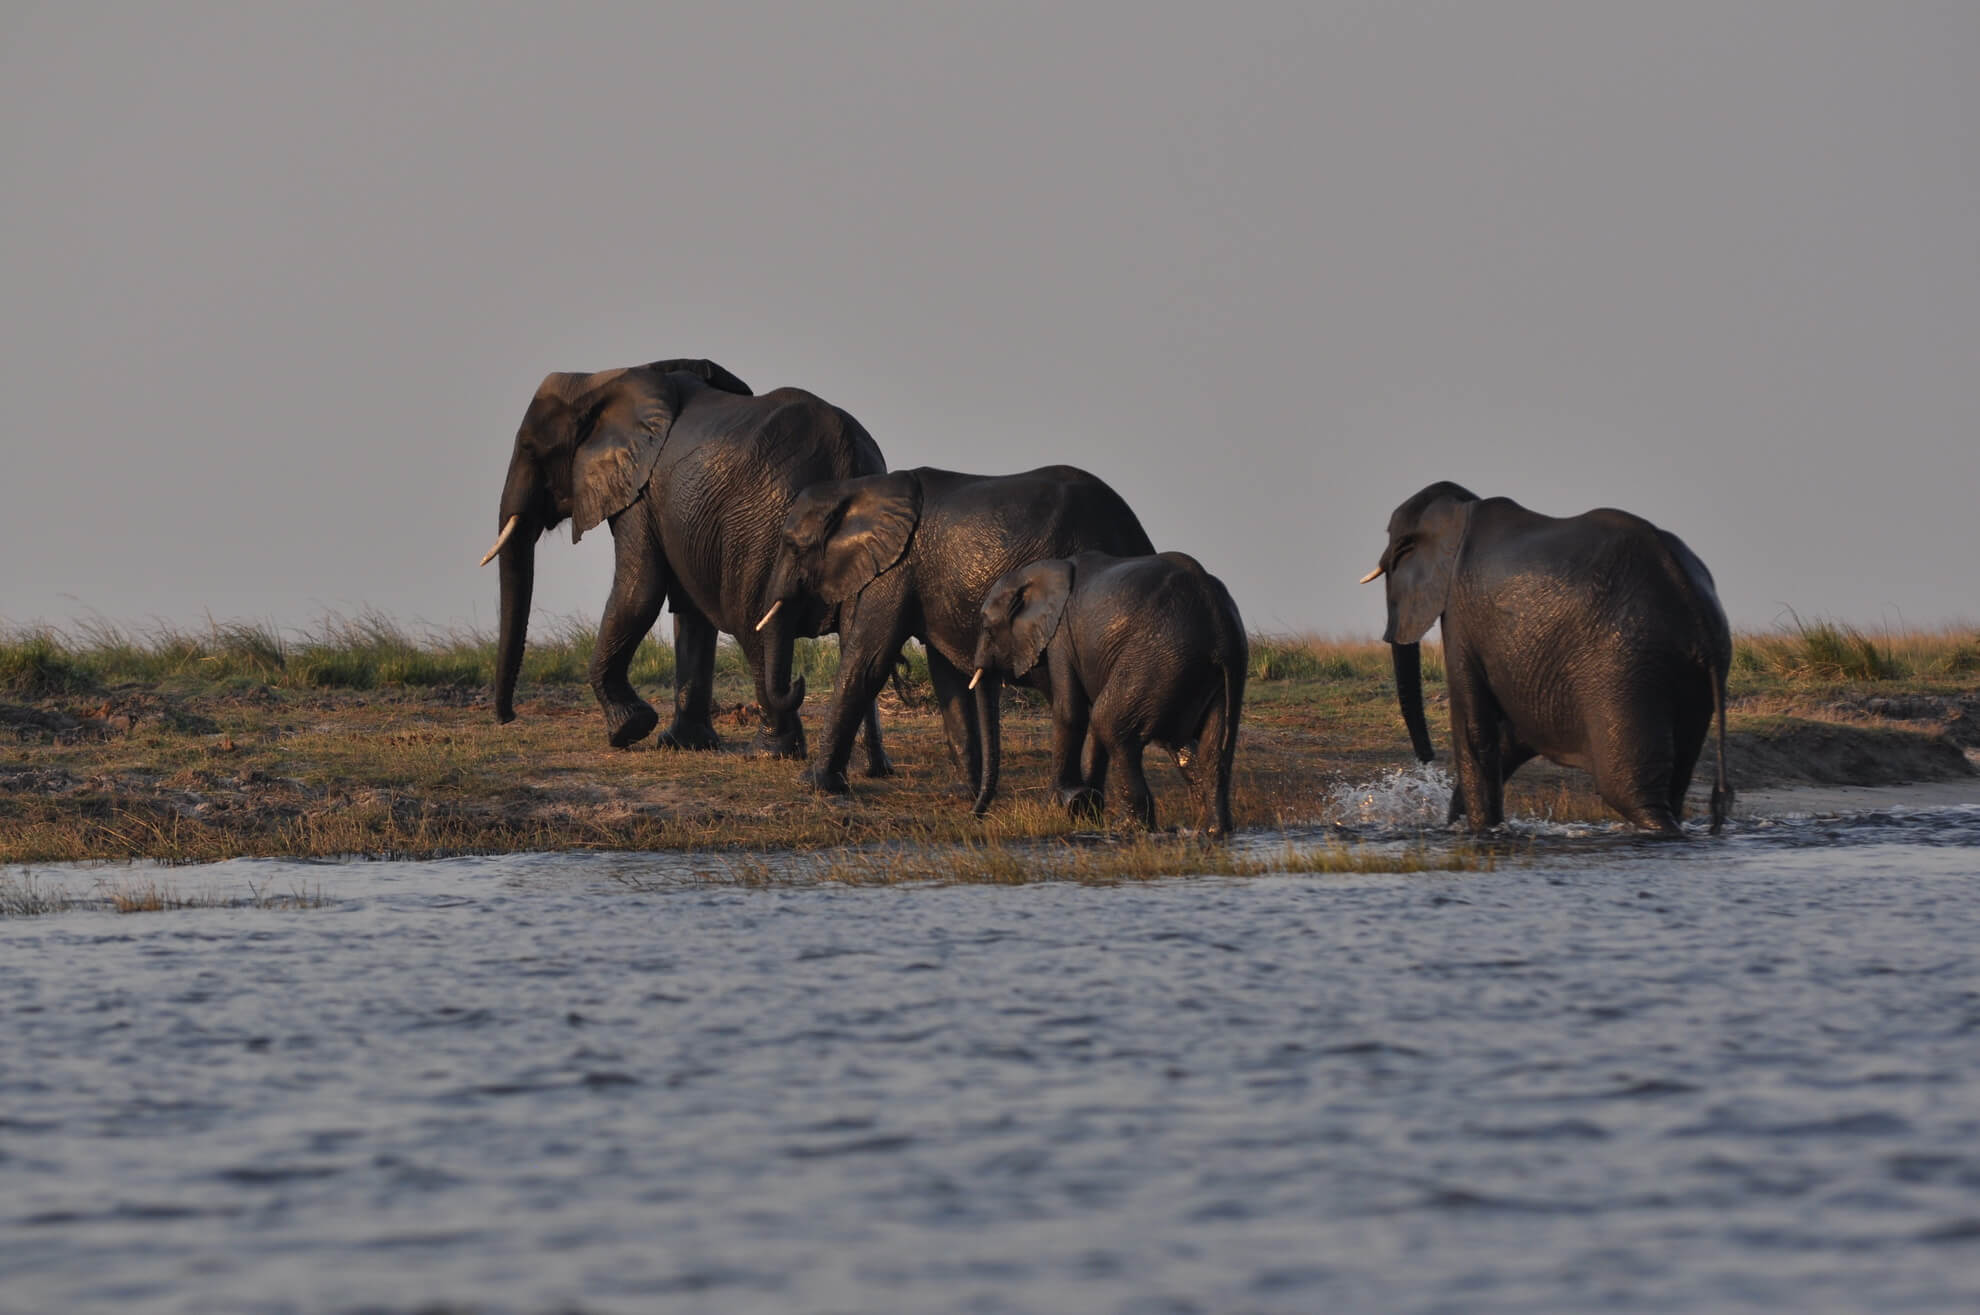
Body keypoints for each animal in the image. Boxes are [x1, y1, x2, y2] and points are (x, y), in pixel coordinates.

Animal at [482, 357, 891, 764]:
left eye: (530, 448)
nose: (507, 717)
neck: (602, 380)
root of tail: (846, 454)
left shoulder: (640, 495)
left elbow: (639, 592)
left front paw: (630, 730)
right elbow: (691, 613)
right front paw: (680, 744)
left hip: (767, 531)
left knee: (753, 621)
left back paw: (767, 752)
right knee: (857, 637)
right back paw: (869, 765)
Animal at [756, 465, 1155, 798]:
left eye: (793, 547)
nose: (798, 681)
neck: (861, 489)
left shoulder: (897, 570)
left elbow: (867, 663)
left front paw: (813, 784)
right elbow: (946, 677)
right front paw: (963, 792)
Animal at [969, 551, 1247, 837]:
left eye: (987, 628)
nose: (975, 818)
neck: (1035, 573)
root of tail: (1219, 623)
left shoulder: (1061, 637)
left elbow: (1070, 713)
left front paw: (1056, 807)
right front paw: (1084, 807)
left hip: (1160, 657)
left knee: (1110, 723)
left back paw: (1128, 827)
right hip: (1209, 671)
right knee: (1203, 746)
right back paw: (1211, 831)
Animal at [1360, 481, 1732, 835]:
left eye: (1395, 557)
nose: (1426, 759)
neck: (1460, 509)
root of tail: (1692, 601)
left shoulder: (1460, 614)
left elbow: (1475, 730)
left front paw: (1480, 833)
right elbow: (1510, 736)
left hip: (1627, 666)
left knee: (1628, 791)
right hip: (1690, 672)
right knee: (1675, 780)